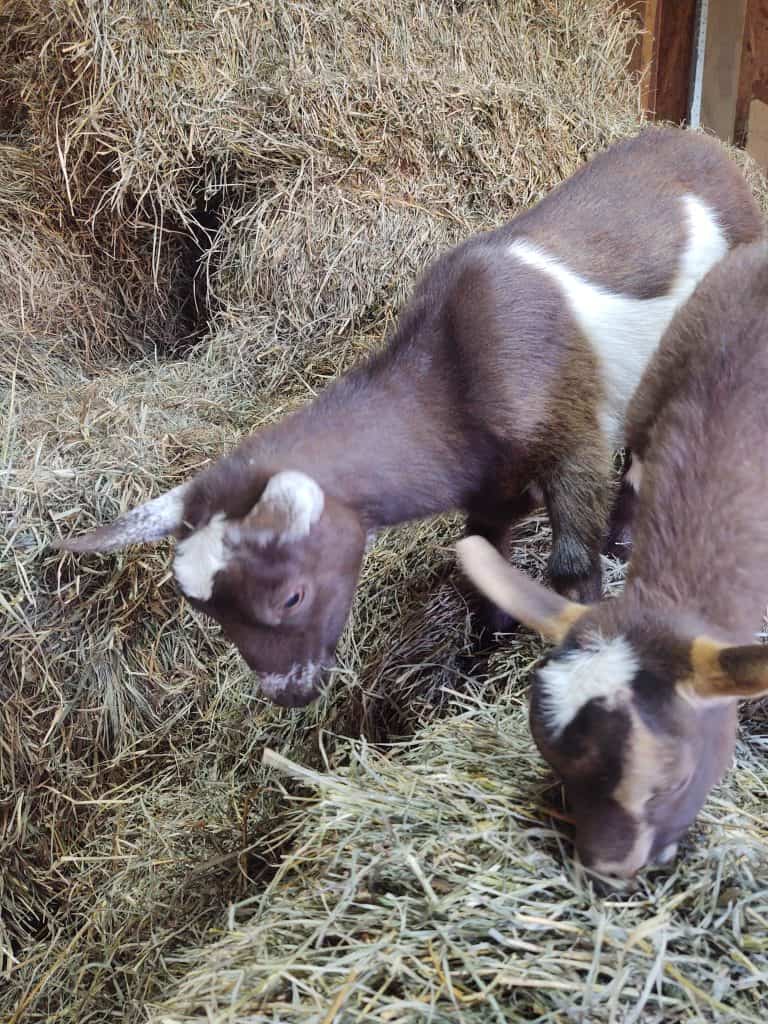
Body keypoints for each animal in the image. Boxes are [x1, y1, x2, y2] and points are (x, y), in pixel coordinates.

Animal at [57, 127, 762, 708]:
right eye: (211, 614)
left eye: (290, 595)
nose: (289, 694)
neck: (453, 373)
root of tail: (705, 144)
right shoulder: (489, 485)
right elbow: (484, 572)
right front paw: (475, 667)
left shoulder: (573, 442)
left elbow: (569, 566)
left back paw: (624, 538)